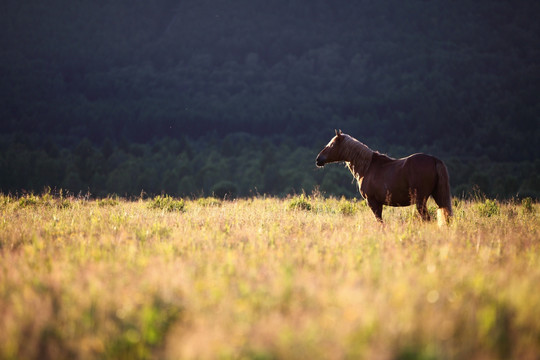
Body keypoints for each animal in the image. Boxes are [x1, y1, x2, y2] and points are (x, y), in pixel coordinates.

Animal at [316, 129, 452, 225]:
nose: (318, 159)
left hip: (421, 201)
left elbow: (380, 222)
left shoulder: (373, 202)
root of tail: (434, 160)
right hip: (438, 197)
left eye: (332, 145)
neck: (368, 167)